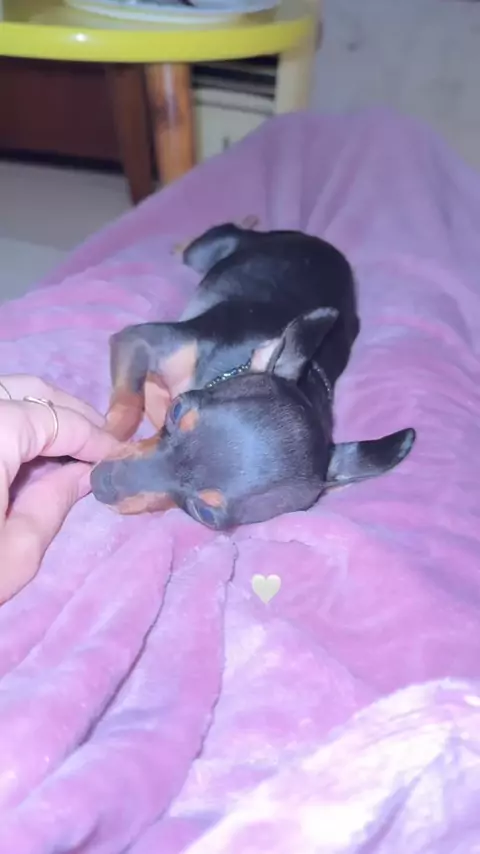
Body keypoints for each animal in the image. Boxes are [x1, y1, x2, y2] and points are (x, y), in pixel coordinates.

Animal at [90, 221, 416, 529]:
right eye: (178, 410)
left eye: (204, 514)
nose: (99, 483)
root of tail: (319, 243)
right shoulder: (138, 339)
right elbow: (128, 405)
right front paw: (106, 432)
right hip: (204, 252)